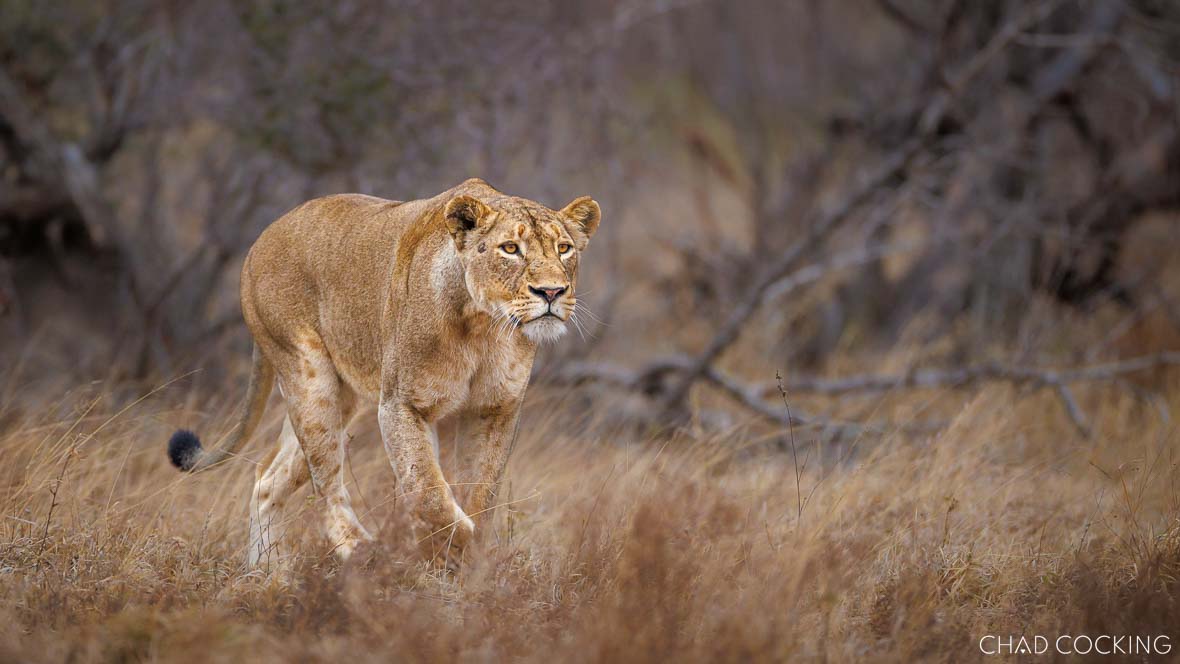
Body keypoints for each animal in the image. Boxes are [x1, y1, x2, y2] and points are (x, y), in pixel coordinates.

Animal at [166, 178, 600, 566]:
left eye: (564, 249)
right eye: (510, 249)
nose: (552, 292)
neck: (482, 327)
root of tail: (262, 238)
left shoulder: (495, 409)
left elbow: (480, 491)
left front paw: (469, 560)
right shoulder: (402, 404)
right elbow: (429, 492)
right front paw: (450, 544)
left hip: (342, 398)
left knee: (268, 478)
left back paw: (266, 574)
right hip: (309, 379)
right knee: (326, 482)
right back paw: (359, 550)